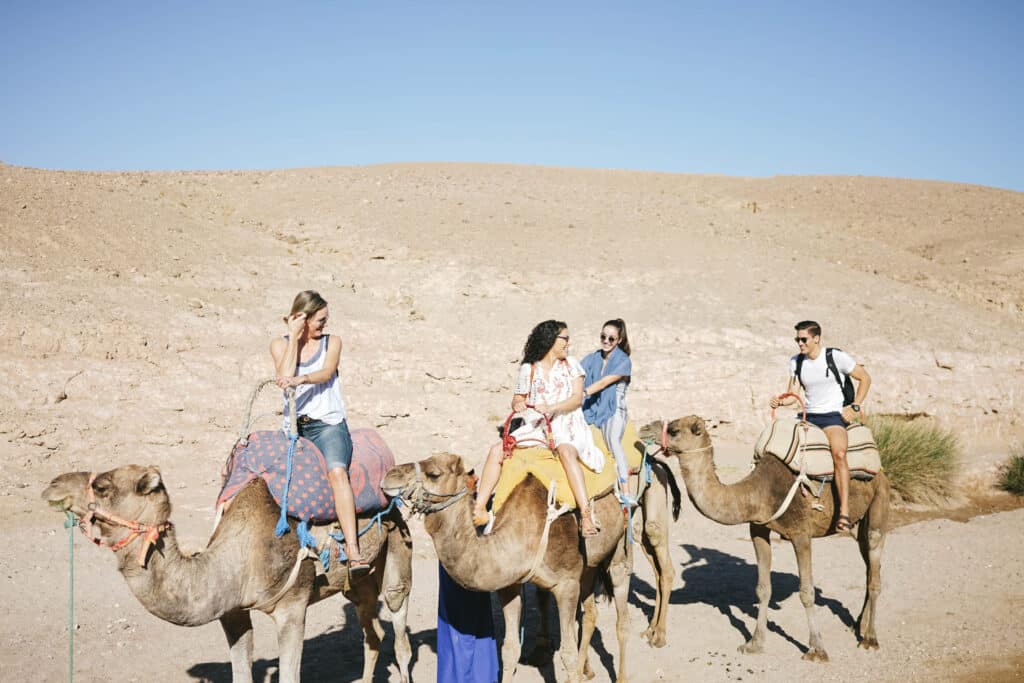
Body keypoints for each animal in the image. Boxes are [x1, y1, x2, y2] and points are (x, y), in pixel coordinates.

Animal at [43, 464, 411, 683]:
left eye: (103, 486)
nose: (52, 484)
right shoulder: (231, 611)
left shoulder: (292, 608)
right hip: (357, 584)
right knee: (372, 631)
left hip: (397, 548)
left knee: (400, 631)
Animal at [385, 450, 655, 679]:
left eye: (434, 473)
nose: (389, 475)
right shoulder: (509, 586)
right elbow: (510, 650)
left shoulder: (566, 584)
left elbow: (566, 652)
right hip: (589, 565)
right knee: (590, 613)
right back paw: (585, 671)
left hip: (619, 544)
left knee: (621, 612)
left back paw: (621, 675)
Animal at [655, 417, 888, 663]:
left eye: (674, 430)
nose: (645, 429)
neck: (759, 492)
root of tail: (882, 470)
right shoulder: (758, 529)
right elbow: (763, 588)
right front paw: (754, 643)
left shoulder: (801, 534)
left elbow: (807, 592)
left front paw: (817, 649)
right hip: (859, 525)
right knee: (869, 568)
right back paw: (858, 624)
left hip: (879, 500)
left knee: (874, 570)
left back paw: (870, 639)